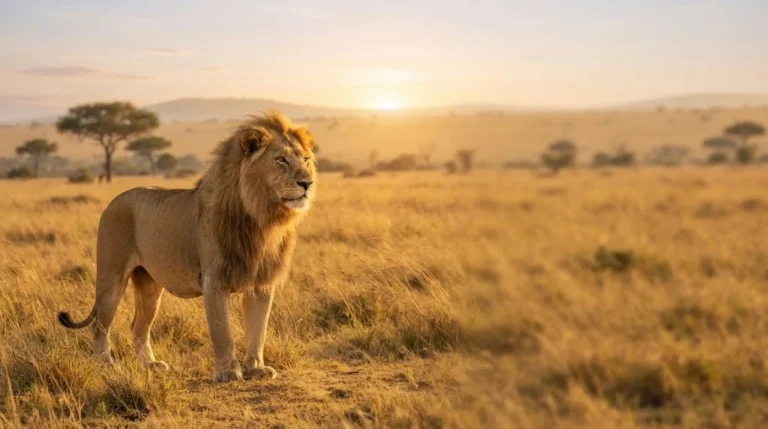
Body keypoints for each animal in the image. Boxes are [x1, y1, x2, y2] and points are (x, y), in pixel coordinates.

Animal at [57, 112, 316, 383]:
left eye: (306, 159)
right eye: (281, 160)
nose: (307, 183)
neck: (262, 218)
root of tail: (113, 201)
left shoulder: (261, 283)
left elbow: (258, 330)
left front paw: (256, 369)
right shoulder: (214, 280)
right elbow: (223, 332)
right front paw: (227, 372)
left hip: (149, 286)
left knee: (138, 327)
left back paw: (151, 365)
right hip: (112, 278)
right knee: (99, 325)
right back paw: (106, 366)